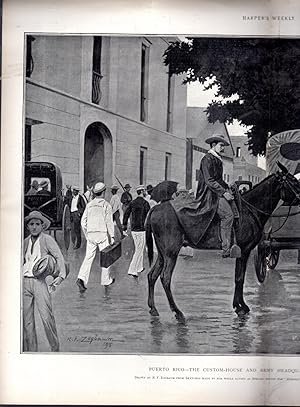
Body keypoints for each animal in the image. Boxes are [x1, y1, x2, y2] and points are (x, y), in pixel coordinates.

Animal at [146, 163, 300, 322]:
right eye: (294, 181)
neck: (249, 209)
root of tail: (154, 209)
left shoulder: (242, 252)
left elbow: (239, 277)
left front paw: (239, 305)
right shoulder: (244, 251)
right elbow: (239, 278)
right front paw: (241, 307)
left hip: (163, 254)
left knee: (152, 275)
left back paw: (153, 309)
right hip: (171, 253)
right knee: (165, 278)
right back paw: (177, 312)